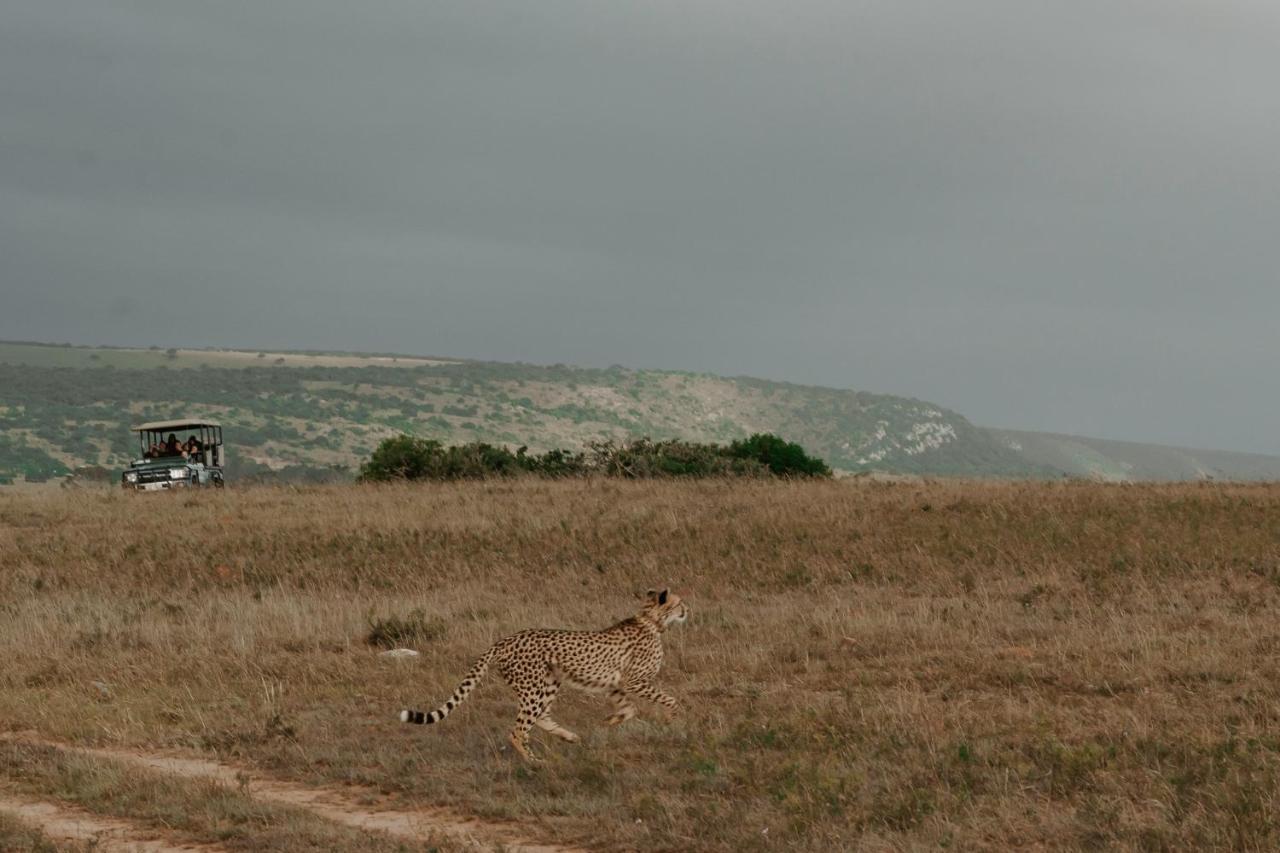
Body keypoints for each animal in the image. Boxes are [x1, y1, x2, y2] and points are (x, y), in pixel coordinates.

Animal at [399, 584, 686, 758]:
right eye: (679, 603)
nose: (687, 609)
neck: (651, 621)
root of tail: (505, 639)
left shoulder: (615, 684)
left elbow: (628, 708)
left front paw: (610, 721)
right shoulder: (634, 681)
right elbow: (669, 699)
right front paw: (672, 719)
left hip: (547, 683)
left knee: (540, 717)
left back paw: (569, 737)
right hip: (534, 688)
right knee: (518, 730)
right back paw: (535, 761)